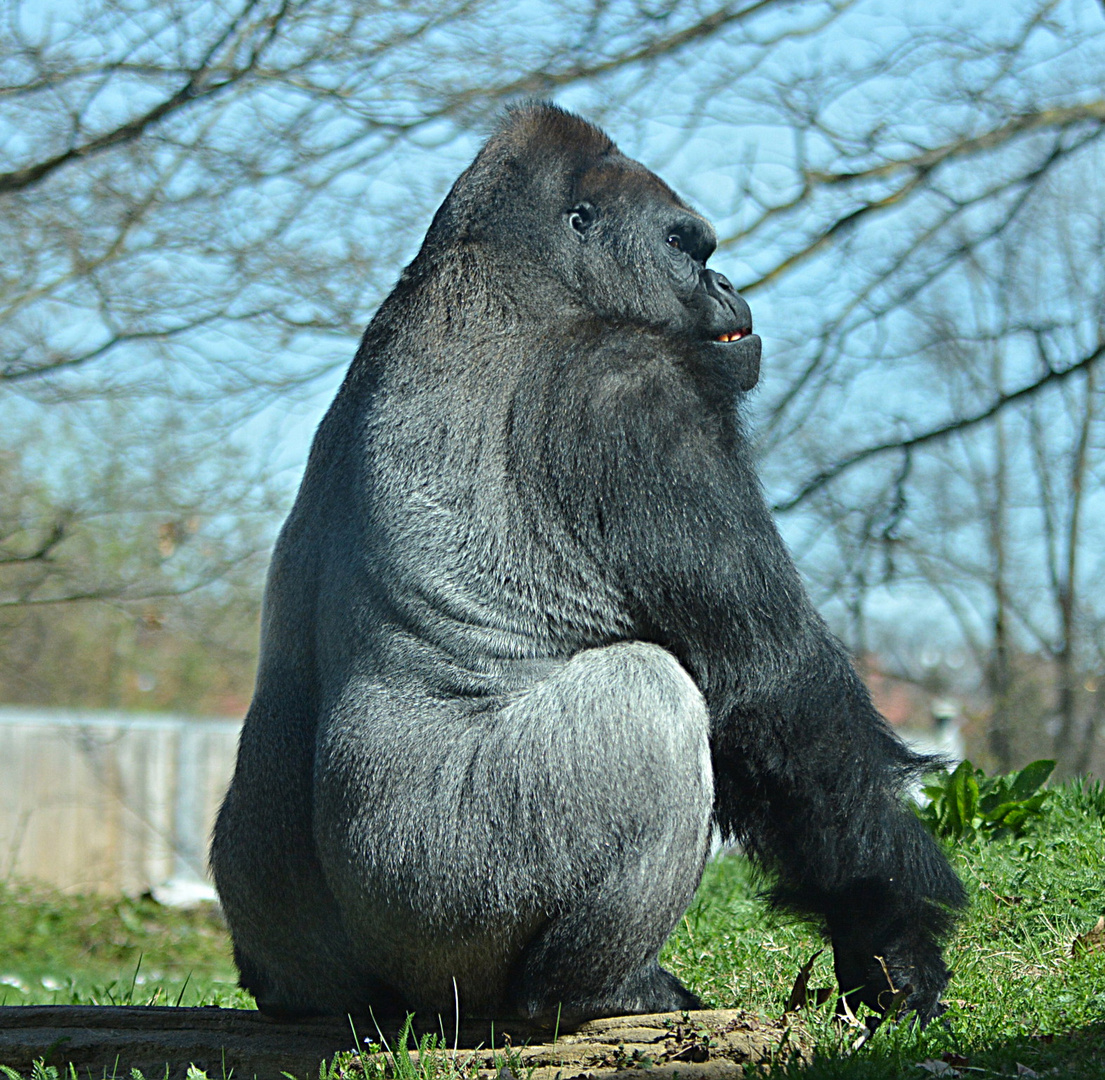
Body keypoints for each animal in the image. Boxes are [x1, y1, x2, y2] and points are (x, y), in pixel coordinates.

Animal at [208, 101, 967, 1030]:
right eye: (686, 246)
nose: (727, 284)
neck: (518, 268)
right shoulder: (632, 388)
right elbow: (780, 695)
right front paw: (892, 935)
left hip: (294, 963)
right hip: (452, 898)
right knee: (649, 694)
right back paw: (593, 989)